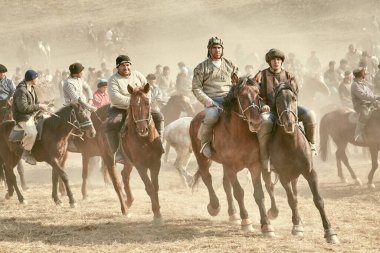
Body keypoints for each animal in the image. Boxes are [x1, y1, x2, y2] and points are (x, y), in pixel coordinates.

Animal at [98, 83, 163, 223]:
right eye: (132, 104)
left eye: (147, 103)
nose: (143, 129)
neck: (145, 140)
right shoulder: (140, 165)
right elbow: (149, 187)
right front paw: (157, 214)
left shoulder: (156, 163)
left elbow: (155, 186)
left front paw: (158, 210)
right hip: (109, 160)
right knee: (117, 184)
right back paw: (125, 209)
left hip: (128, 162)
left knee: (125, 175)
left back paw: (129, 201)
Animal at [190, 76, 276, 236]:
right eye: (241, 96)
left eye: (258, 94)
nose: (256, 122)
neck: (238, 135)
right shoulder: (230, 167)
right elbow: (239, 192)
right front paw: (246, 221)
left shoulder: (254, 165)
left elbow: (258, 194)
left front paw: (266, 226)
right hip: (203, 159)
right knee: (207, 178)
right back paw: (214, 206)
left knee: (225, 184)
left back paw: (233, 214)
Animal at [268, 81, 340, 243]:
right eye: (277, 101)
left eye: (294, 98)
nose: (288, 123)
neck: (291, 144)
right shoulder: (283, 176)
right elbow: (291, 200)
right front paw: (296, 226)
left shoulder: (310, 172)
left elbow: (318, 200)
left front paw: (330, 232)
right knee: (271, 188)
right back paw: (276, 213)